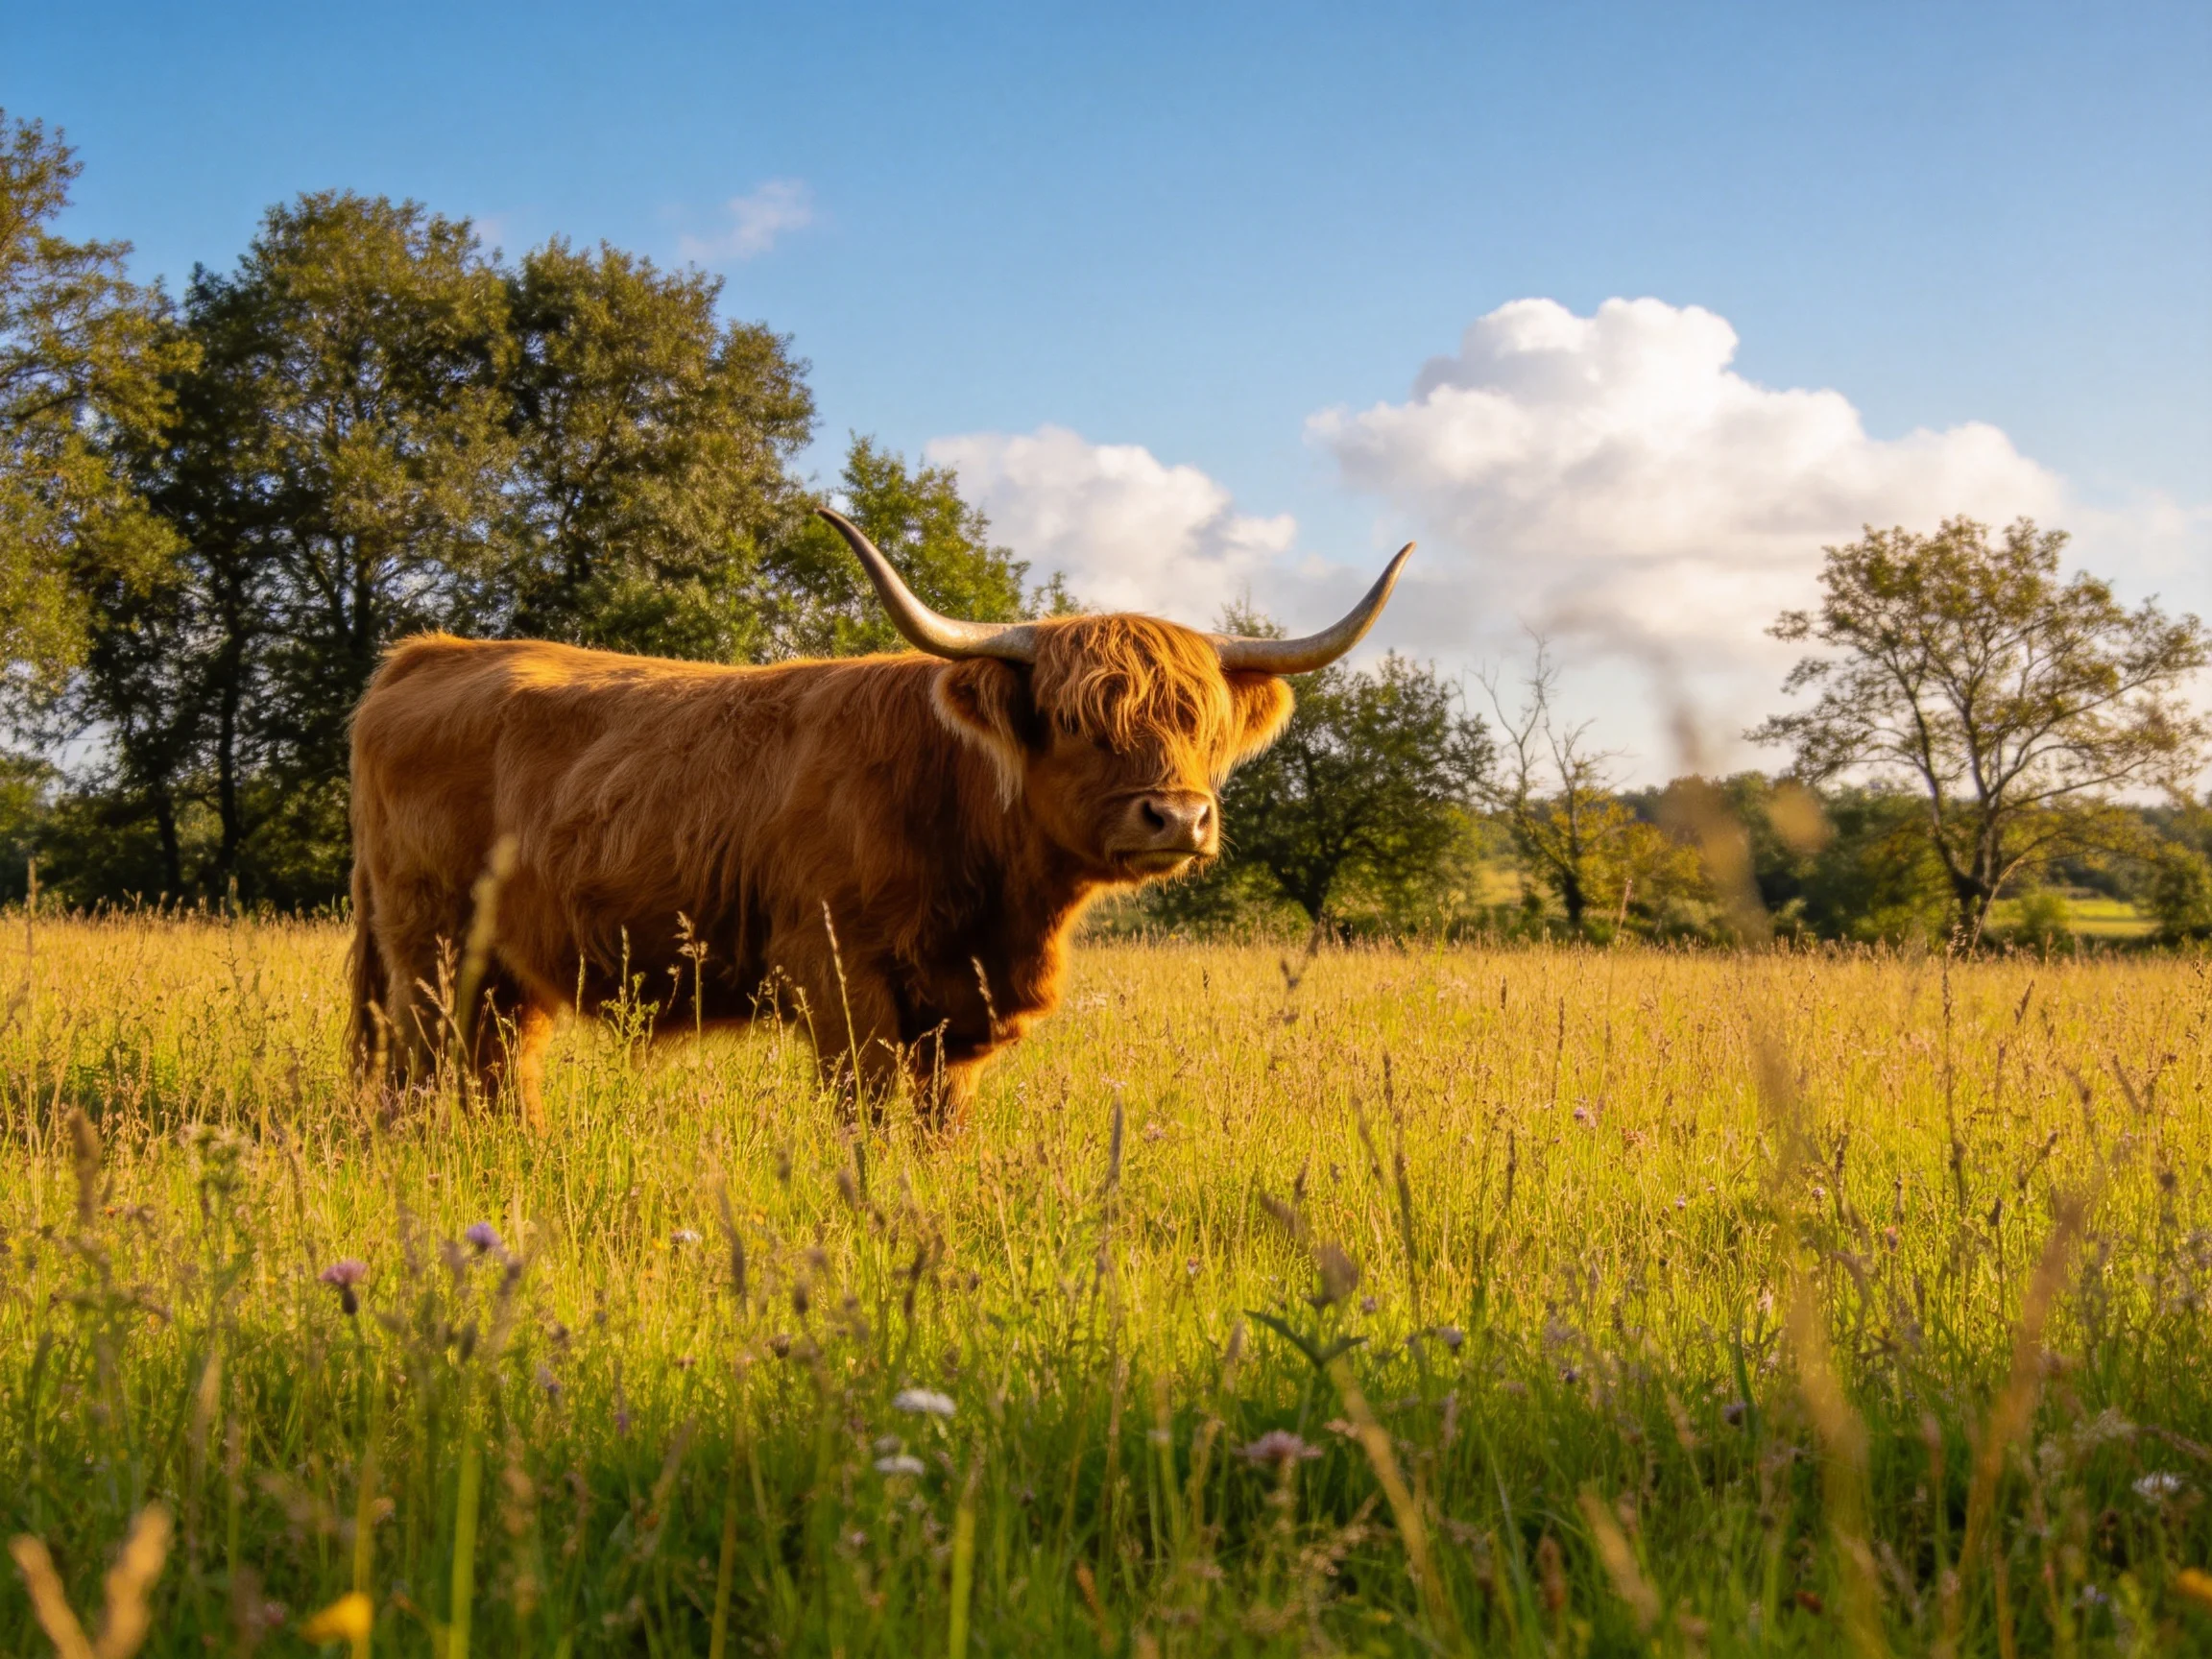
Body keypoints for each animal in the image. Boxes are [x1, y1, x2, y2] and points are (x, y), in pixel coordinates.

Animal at [347, 507, 1412, 1127]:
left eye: (1201, 725)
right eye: (1076, 722)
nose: (1179, 817)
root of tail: (425, 653)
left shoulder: (960, 1011)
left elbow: (938, 1125)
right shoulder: (837, 974)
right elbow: (863, 1112)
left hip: (507, 962)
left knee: (496, 1067)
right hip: (429, 944)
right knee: (425, 1062)